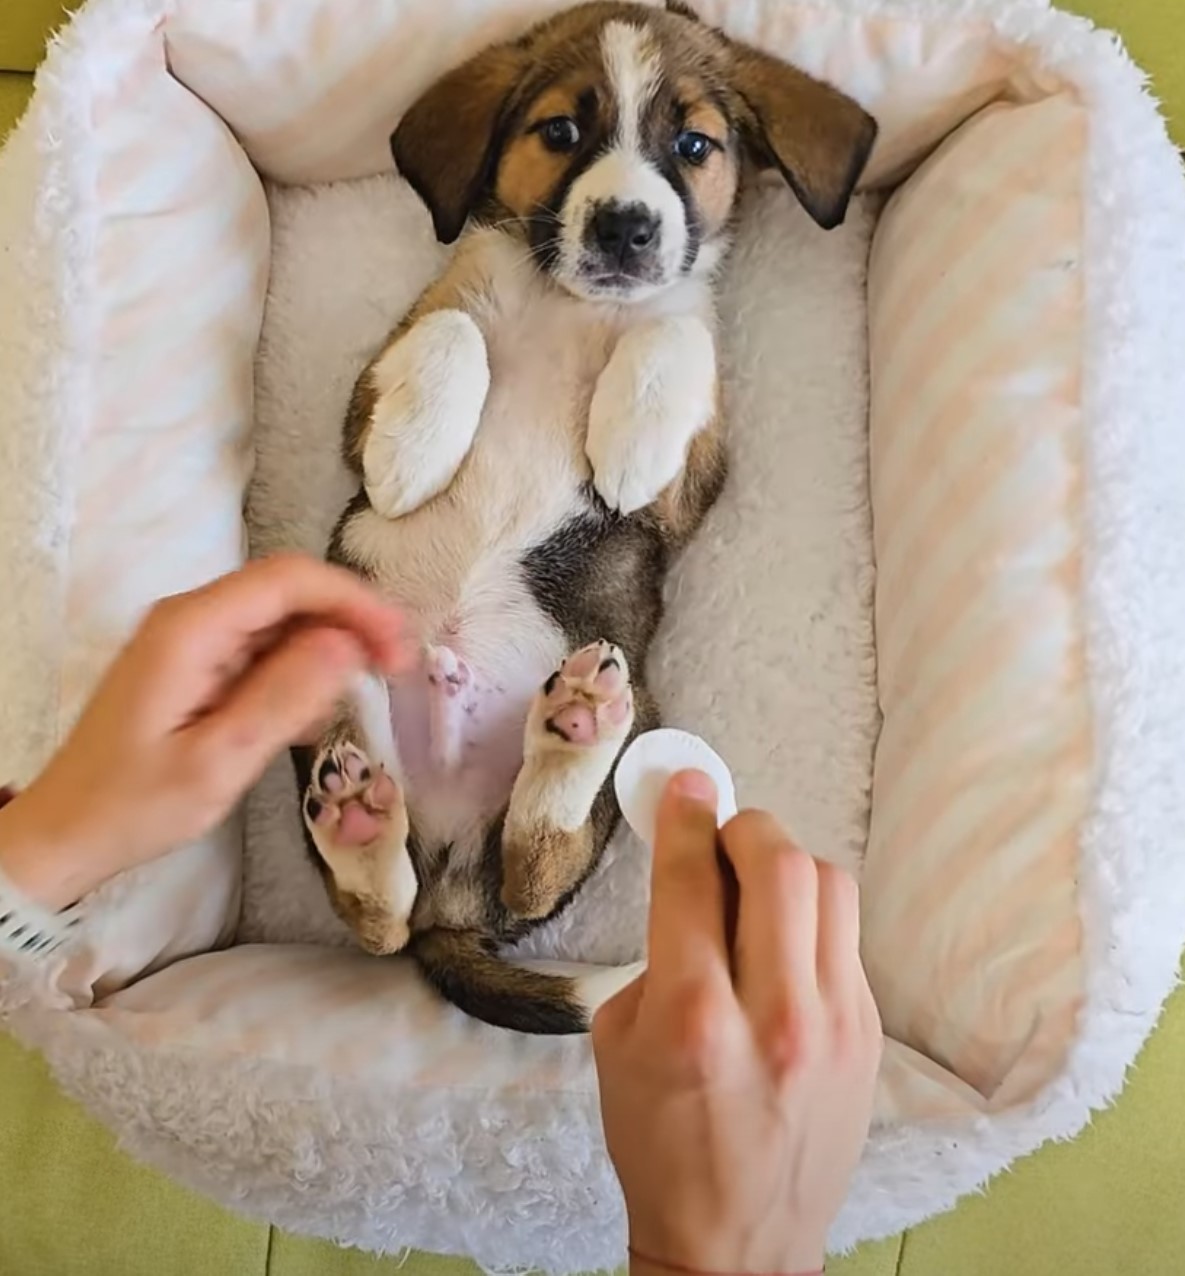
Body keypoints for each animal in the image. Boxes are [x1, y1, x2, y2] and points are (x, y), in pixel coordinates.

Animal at [290, 0, 872, 1031]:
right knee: (381, 917)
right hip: (333, 683)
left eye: (693, 145)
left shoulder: (693, 483)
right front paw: (414, 456)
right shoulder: (373, 382)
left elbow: (674, 329)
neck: (565, 301)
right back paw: (369, 822)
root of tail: (450, 882)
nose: (627, 227)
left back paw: (574, 733)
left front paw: (627, 437)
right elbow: (452, 330)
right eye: (560, 132)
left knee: (530, 862)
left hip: (632, 718)